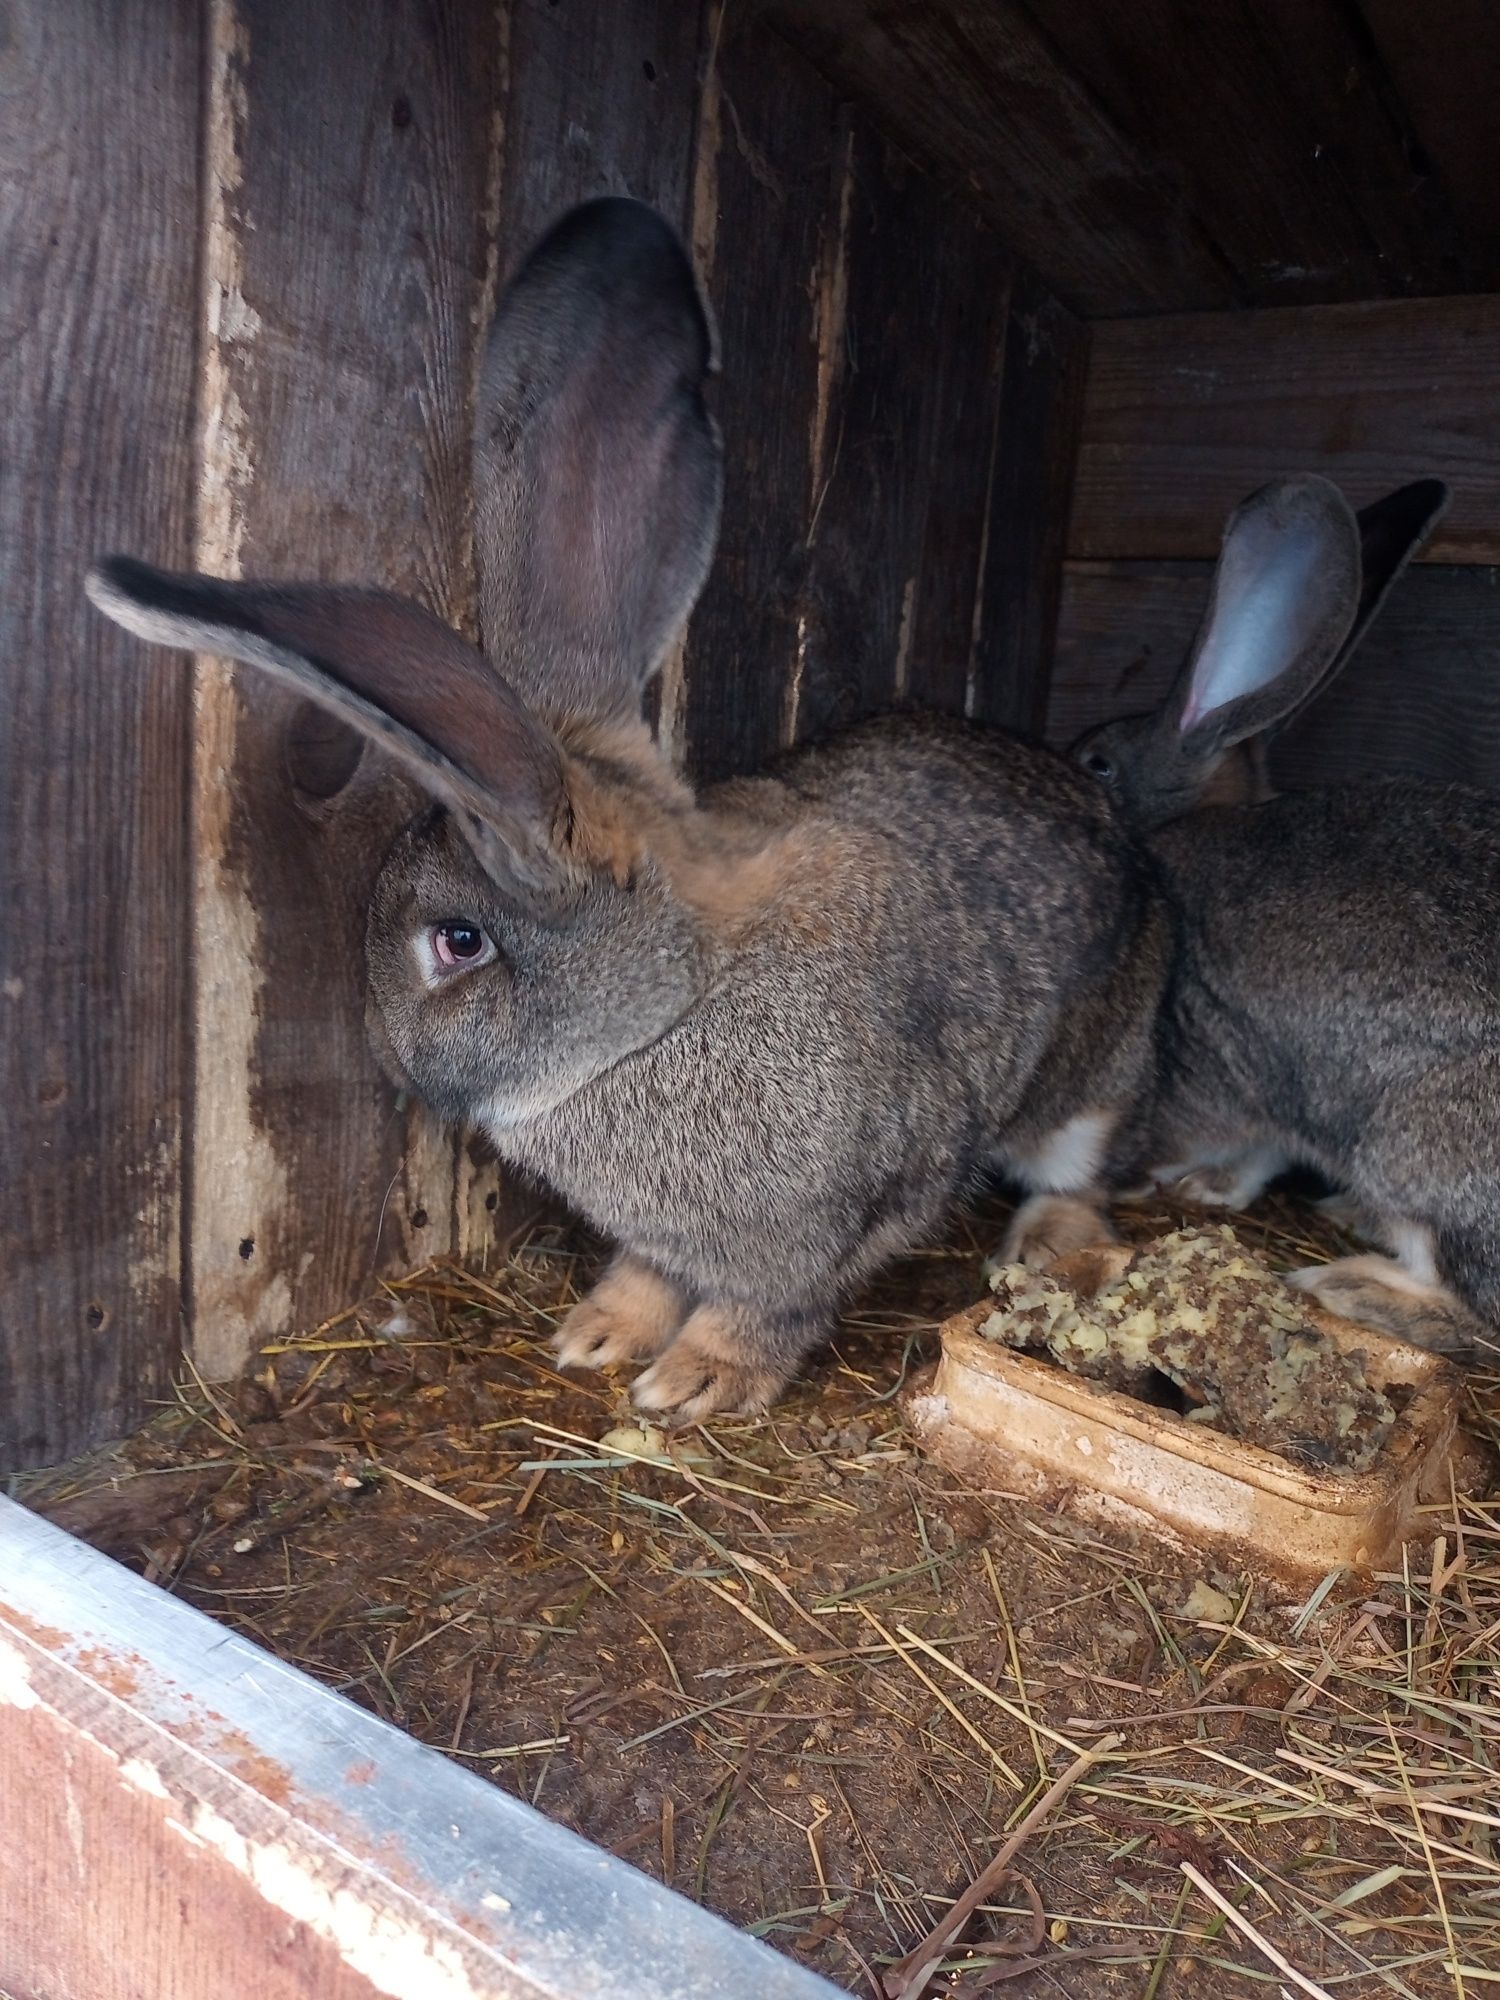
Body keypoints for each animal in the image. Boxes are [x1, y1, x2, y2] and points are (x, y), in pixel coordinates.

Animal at [85, 195, 1176, 1424]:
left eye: (456, 942)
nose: (388, 1059)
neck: (672, 1000)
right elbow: (652, 1267)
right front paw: (599, 1333)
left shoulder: (856, 1204)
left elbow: (774, 1303)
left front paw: (698, 1380)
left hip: (1094, 1082)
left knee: (1087, 1170)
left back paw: (1047, 1246)